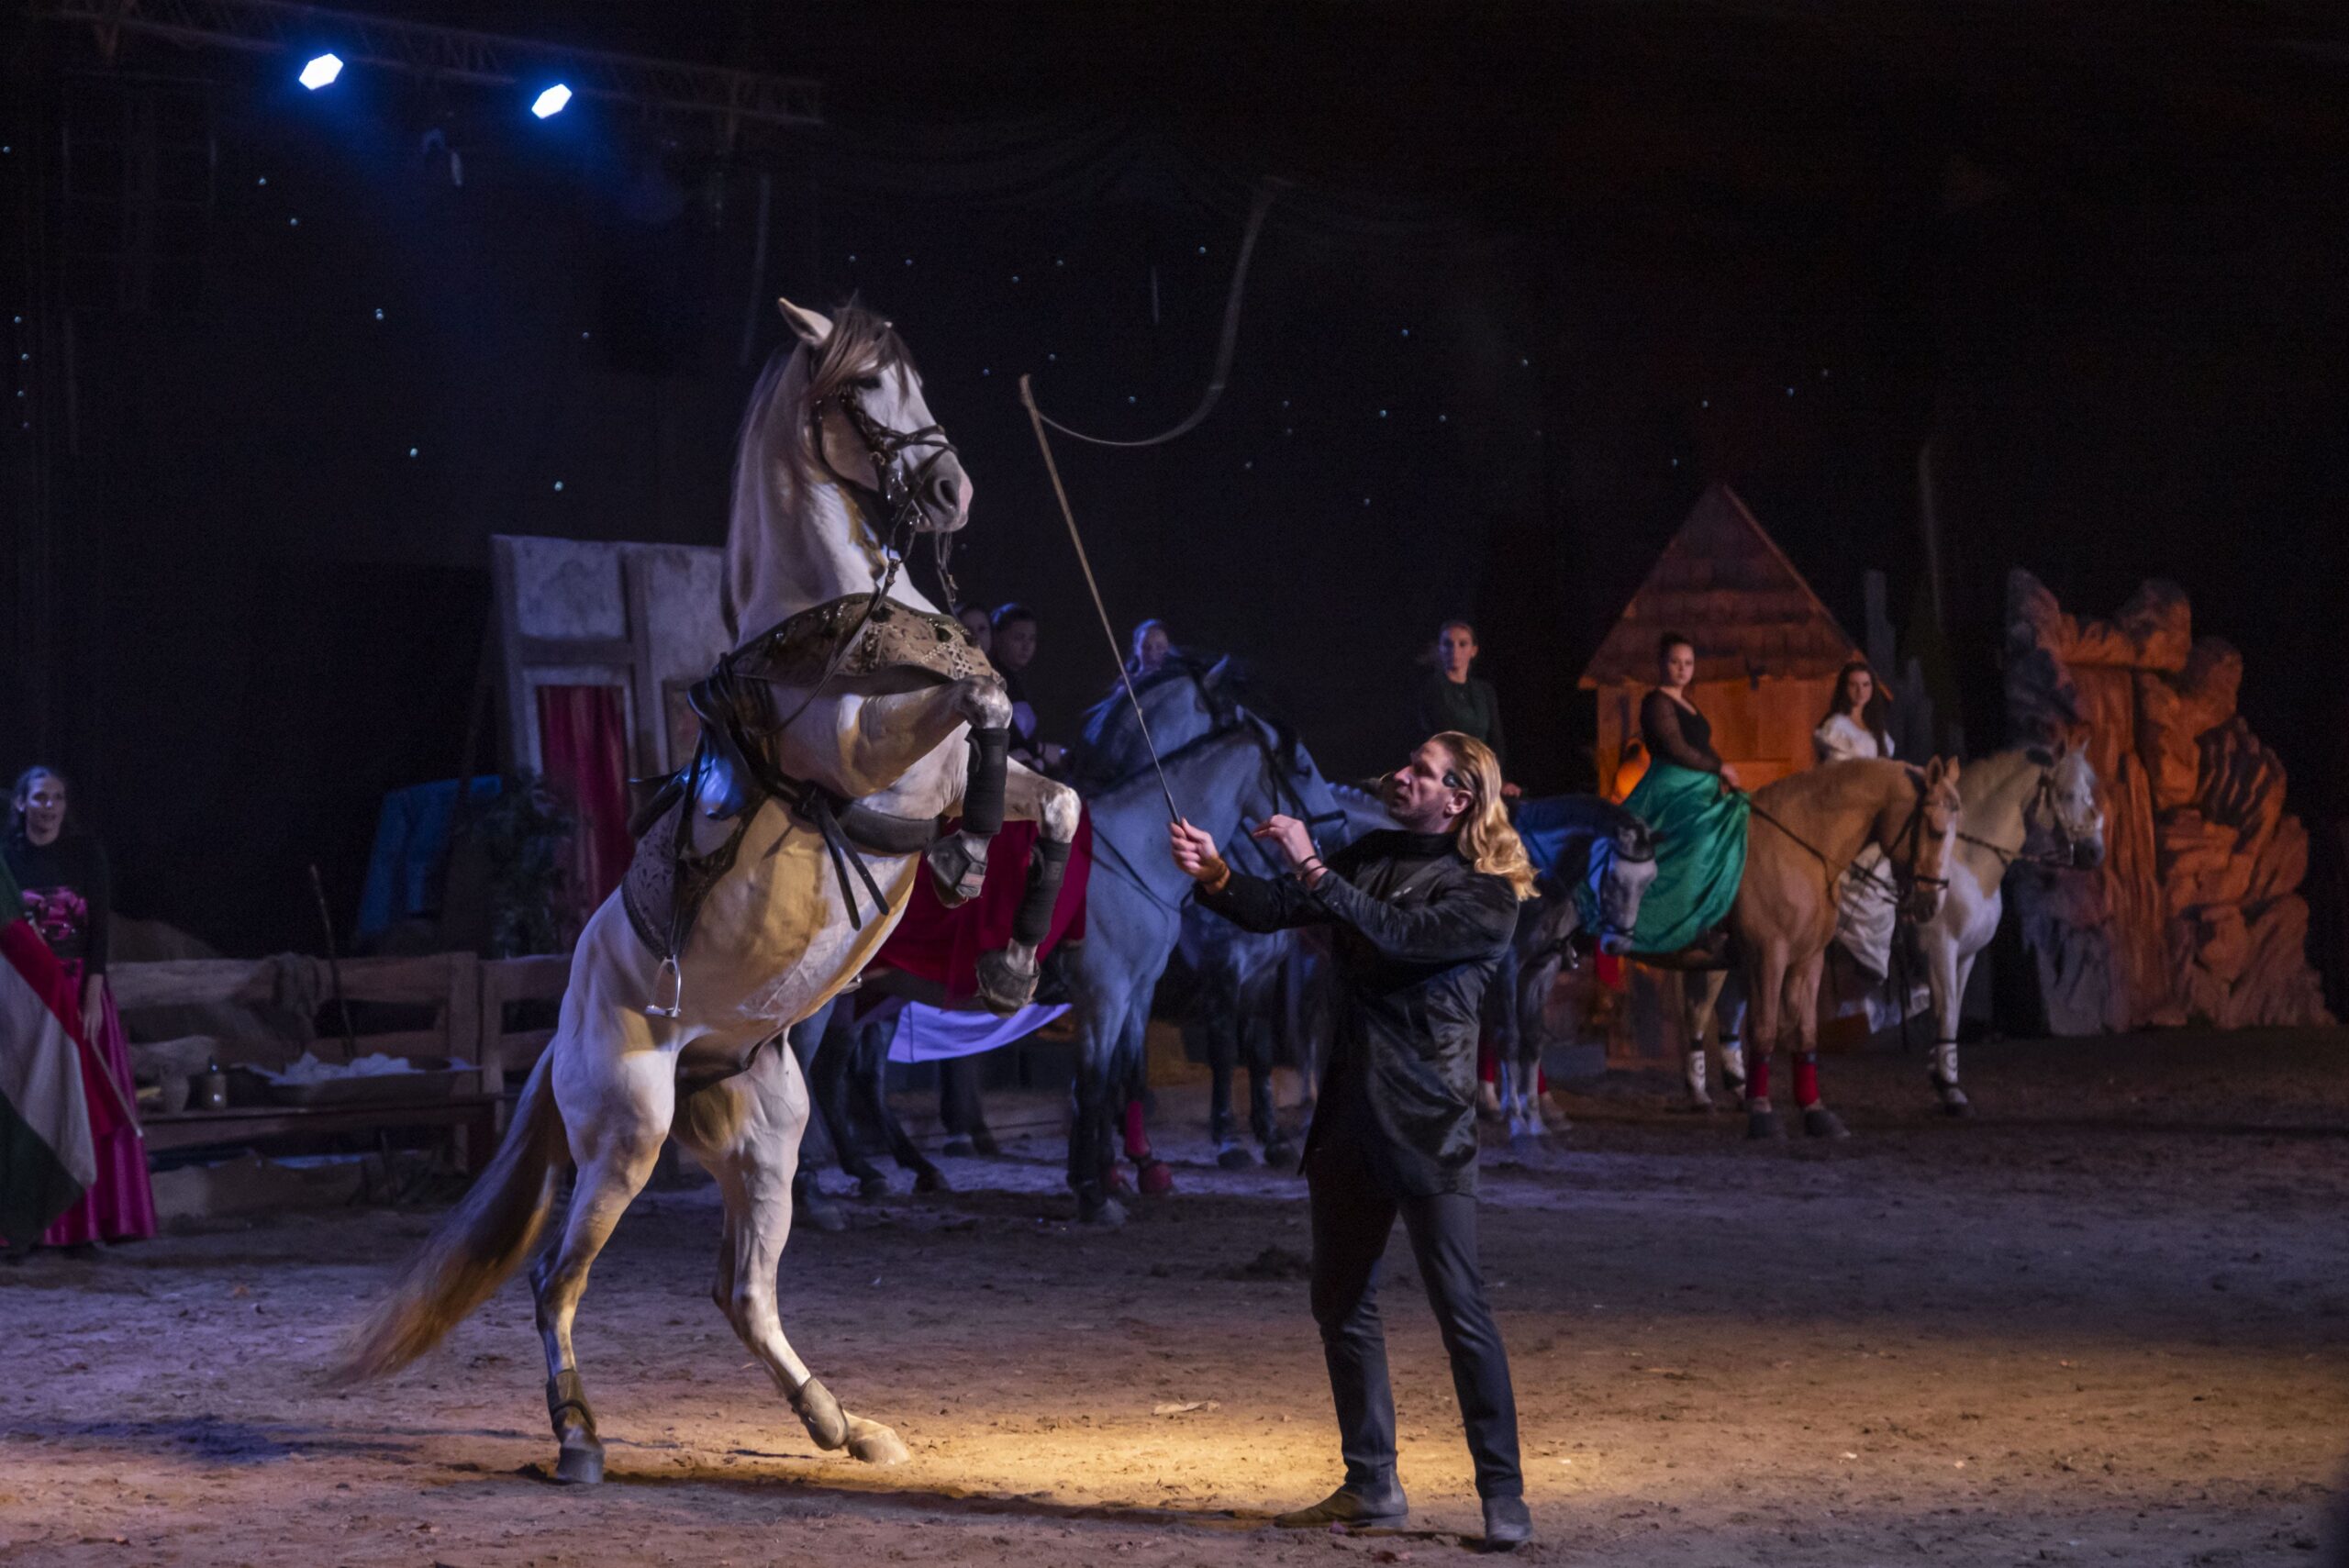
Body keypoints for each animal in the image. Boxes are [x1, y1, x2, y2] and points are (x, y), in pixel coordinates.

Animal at [336, 299, 1083, 1484]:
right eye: (860, 388)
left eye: (914, 378)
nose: (952, 489)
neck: (838, 625)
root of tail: (560, 1035)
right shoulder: (873, 761)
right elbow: (988, 694)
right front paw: (968, 864)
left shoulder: (938, 784)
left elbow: (1053, 796)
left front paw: (1009, 958)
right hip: (626, 1134)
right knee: (555, 1277)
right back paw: (580, 1436)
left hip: (768, 1129)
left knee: (739, 1288)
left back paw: (842, 1421)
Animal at [1488, 795, 1658, 1146]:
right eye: (1613, 877)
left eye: (1648, 881)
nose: (1617, 944)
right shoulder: (1507, 967)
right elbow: (1509, 1038)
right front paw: (1518, 1123)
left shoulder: (1542, 968)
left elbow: (1533, 1039)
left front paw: (1534, 1119)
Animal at [1678, 758, 1964, 1140]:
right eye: (1935, 831)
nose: (1931, 906)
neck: (1797, 850)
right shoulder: (1767, 956)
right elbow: (1764, 1029)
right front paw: (1762, 1112)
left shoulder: (1807, 959)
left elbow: (1805, 1032)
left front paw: (1815, 1111)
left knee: (1700, 1011)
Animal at [1915, 741, 2104, 1113]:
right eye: (2068, 794)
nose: (2095, 852)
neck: (1963, 860)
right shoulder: (1940, 949)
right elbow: (1947, 1012)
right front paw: (1950, 1090)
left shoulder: (1964, 954)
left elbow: (1950, 1014)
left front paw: (1945, 1081)